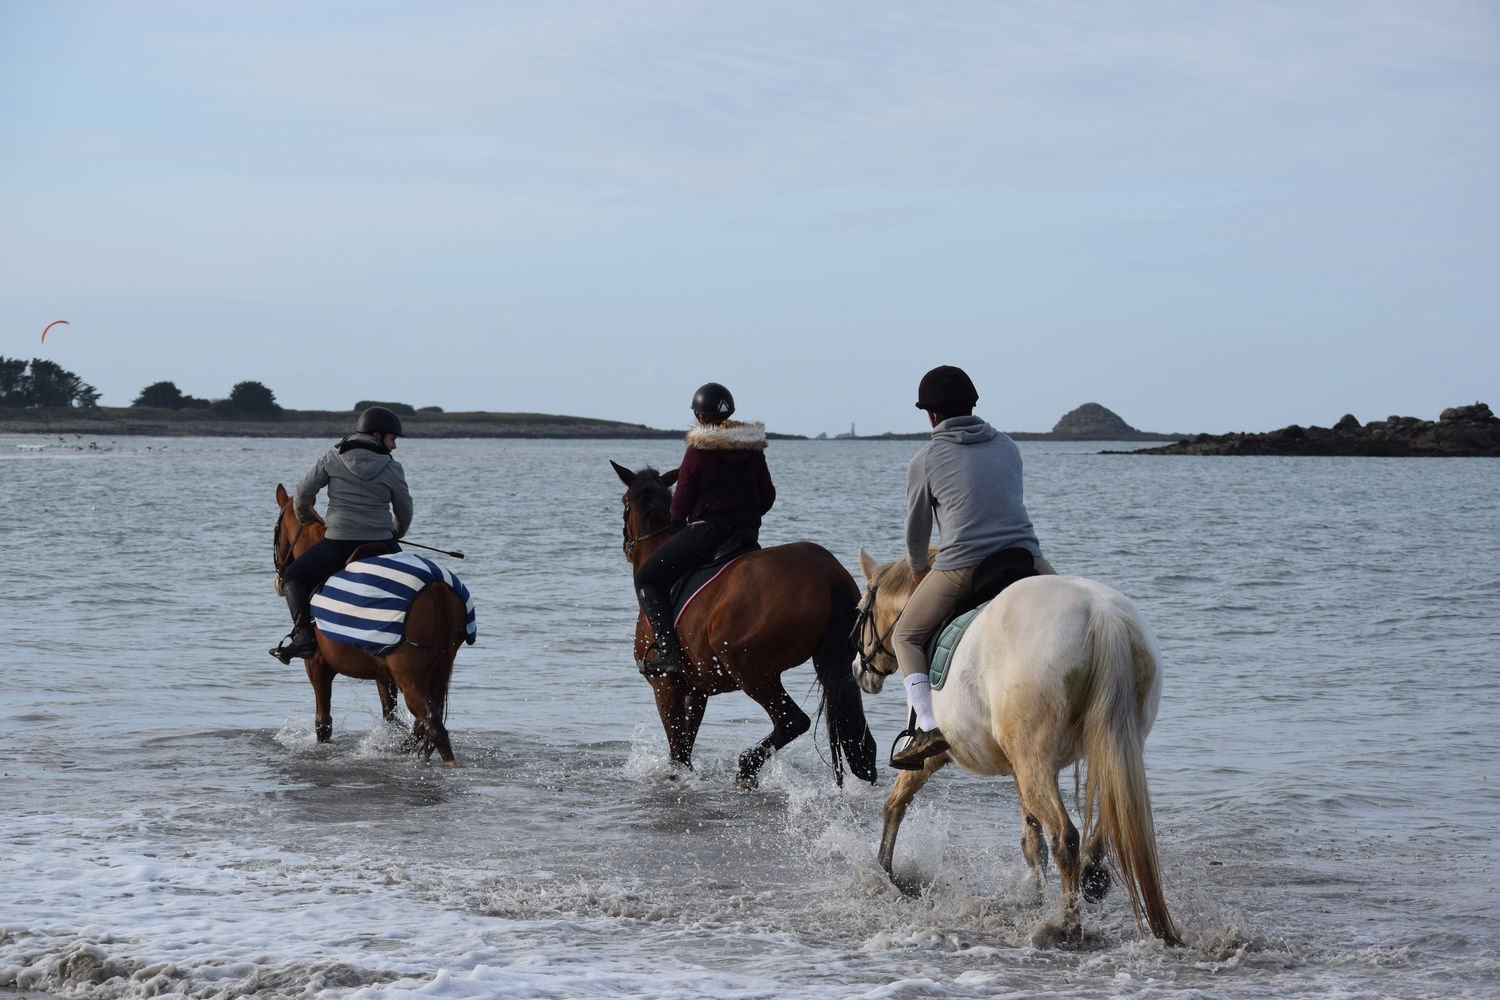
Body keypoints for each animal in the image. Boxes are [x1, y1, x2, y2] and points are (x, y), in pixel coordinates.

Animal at [273, 485, 465, 767]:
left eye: (276, 531)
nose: (278, 576)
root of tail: (437, 585)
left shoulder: (317, 666)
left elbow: (323, 724)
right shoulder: (383, 675)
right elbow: (390, 717)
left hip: (411, 676)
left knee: (433, 726)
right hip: (439, 668)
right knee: (424, 725)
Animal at [609, 461, 876, 791]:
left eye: (624, 502)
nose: (626, 546)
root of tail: (828, 571)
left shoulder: (666, 686)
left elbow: (677, 748)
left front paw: (676, 778)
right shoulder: (696, 690)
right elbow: (686, 744)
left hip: (751, 670)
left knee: (792, 720)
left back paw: (747, 767)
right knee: (859, 740)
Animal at [852, 548, 1176, 947]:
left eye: (860, 610)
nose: (859, 671)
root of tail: (1102, 616)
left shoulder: (934, 754)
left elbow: (894, 802)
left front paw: (884, 871)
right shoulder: (1020, 767)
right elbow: (1032, 841)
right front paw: (1036, 896)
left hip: (1034, 763)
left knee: (1065, 837)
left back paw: (1066, 925)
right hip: (1102, 749)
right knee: (1107, 819)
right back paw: (1092, 878)